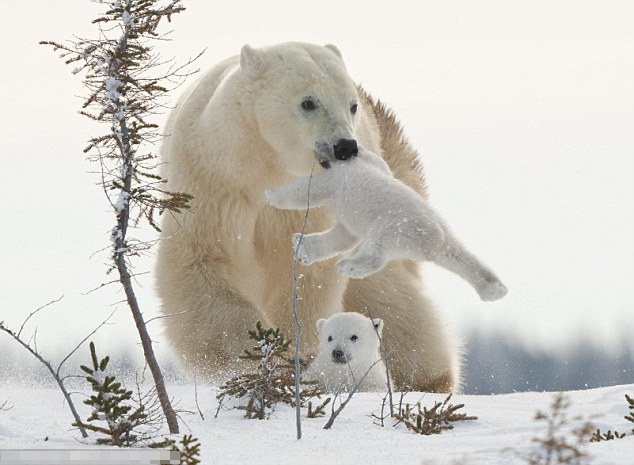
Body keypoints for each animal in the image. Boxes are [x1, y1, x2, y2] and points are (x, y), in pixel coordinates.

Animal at [154, 42, 460, 392]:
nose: (345, 146)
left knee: (392, 300)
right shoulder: (214, 183)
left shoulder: (314, 202)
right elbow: (204, 261)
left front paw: (292, 350)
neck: (266, 164)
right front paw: (251, 355)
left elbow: (305, 273)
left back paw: (428, 379)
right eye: (308, 101)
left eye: (351, 105)